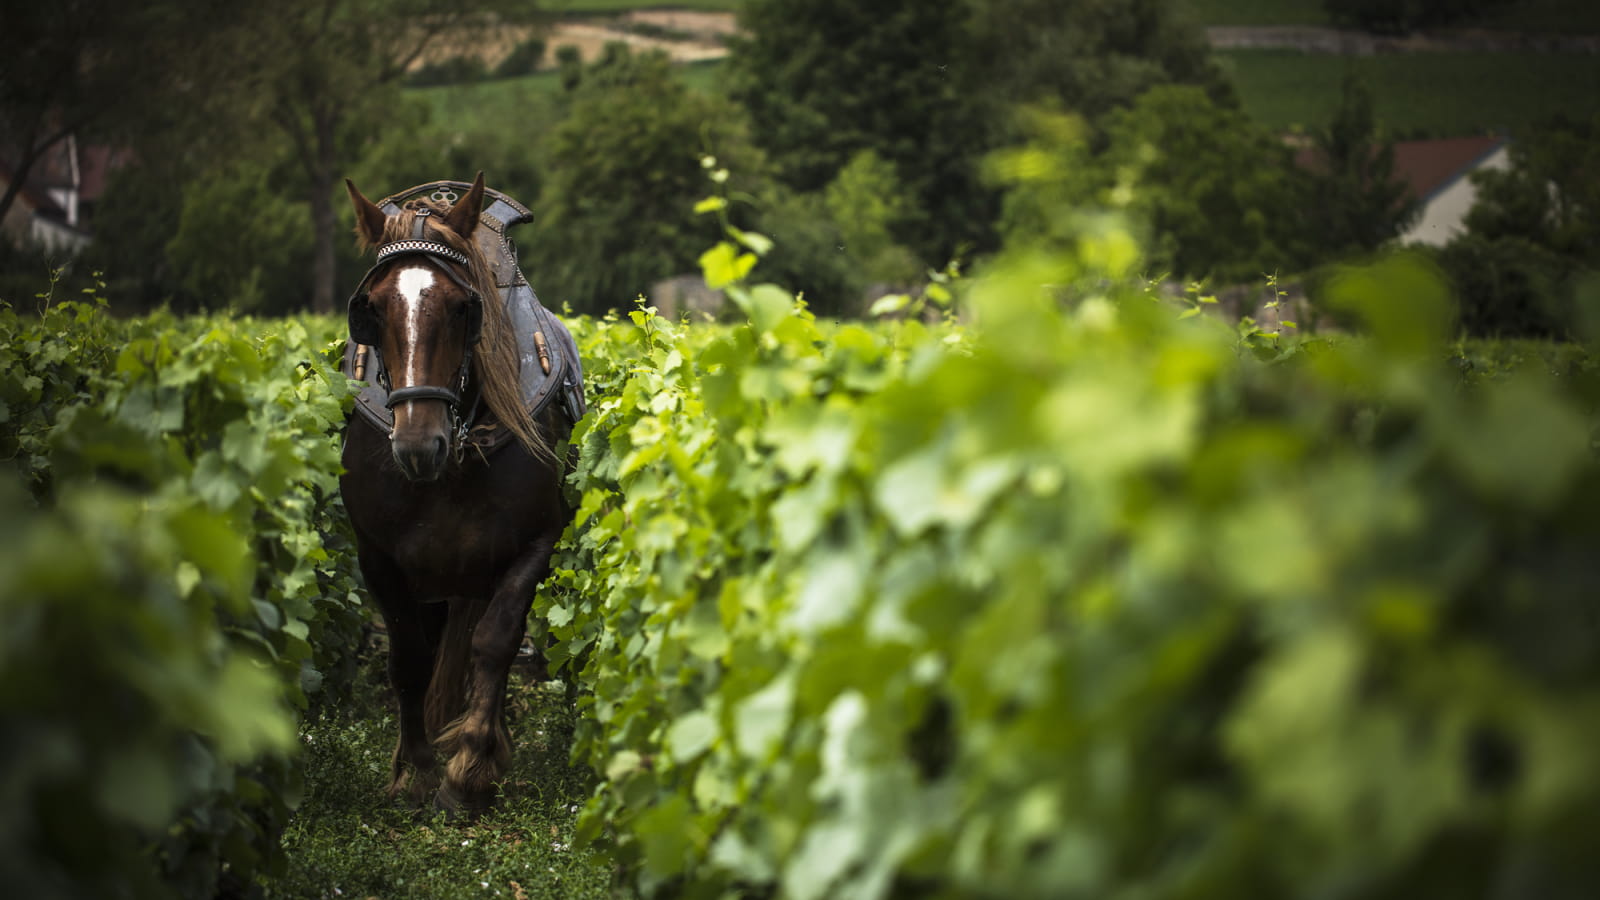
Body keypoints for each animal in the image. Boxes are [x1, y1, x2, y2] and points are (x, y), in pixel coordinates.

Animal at [334, 173, 572, 813]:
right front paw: (414, 772)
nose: (419, 445)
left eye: (465, 308)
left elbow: (493, 643)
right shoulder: (378, 555)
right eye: (369, 309)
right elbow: (410, 657)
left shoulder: (535, 542)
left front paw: (469, 770)